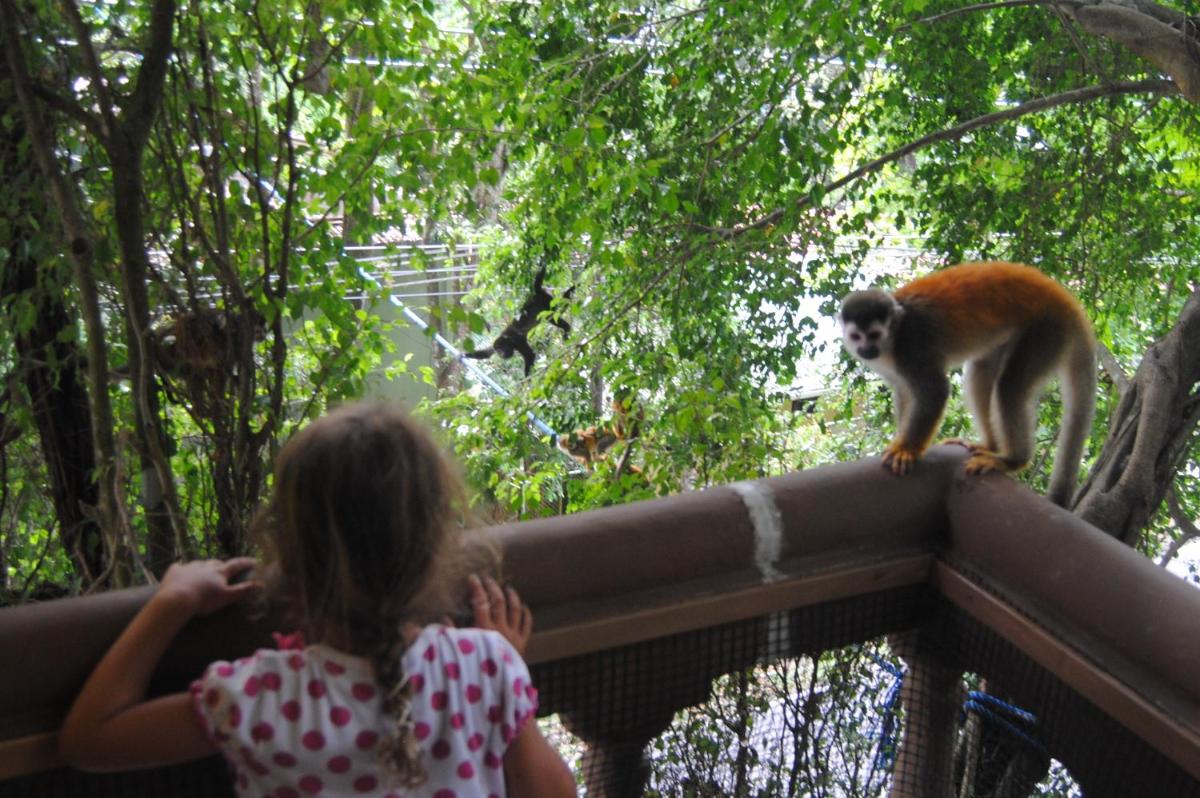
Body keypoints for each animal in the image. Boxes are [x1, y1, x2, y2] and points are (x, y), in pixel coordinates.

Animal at [840, 262, 1094, 511]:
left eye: (874, 334)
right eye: (856, 336)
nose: (866, 350)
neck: (894, 337)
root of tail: (1065, 299)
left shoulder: (912, 346)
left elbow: (935, 391)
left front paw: (906, 450)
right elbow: (904, 392)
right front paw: (900, 442)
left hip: (1047, 330)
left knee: (1009, 389)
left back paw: (1012, 460)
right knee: (980, 373)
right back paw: (991, 445)